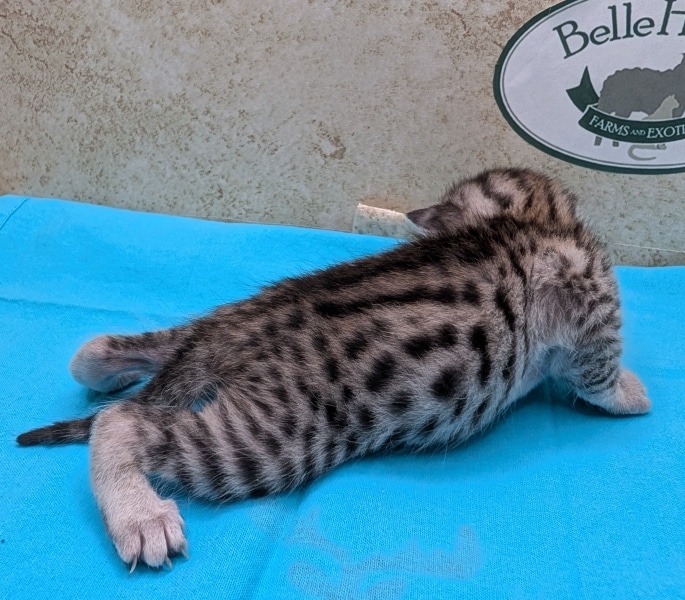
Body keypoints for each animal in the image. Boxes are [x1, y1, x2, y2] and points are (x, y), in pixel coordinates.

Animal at [17, 168, 650, 571]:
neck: (531, 225)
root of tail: (234, 328)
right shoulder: (590, 298)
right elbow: (599, 371)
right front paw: (631, 393)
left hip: (204, 337)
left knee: (106, 353)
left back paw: (108, 371)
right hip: (279, 434)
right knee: (119, 422)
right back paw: (140, 515)